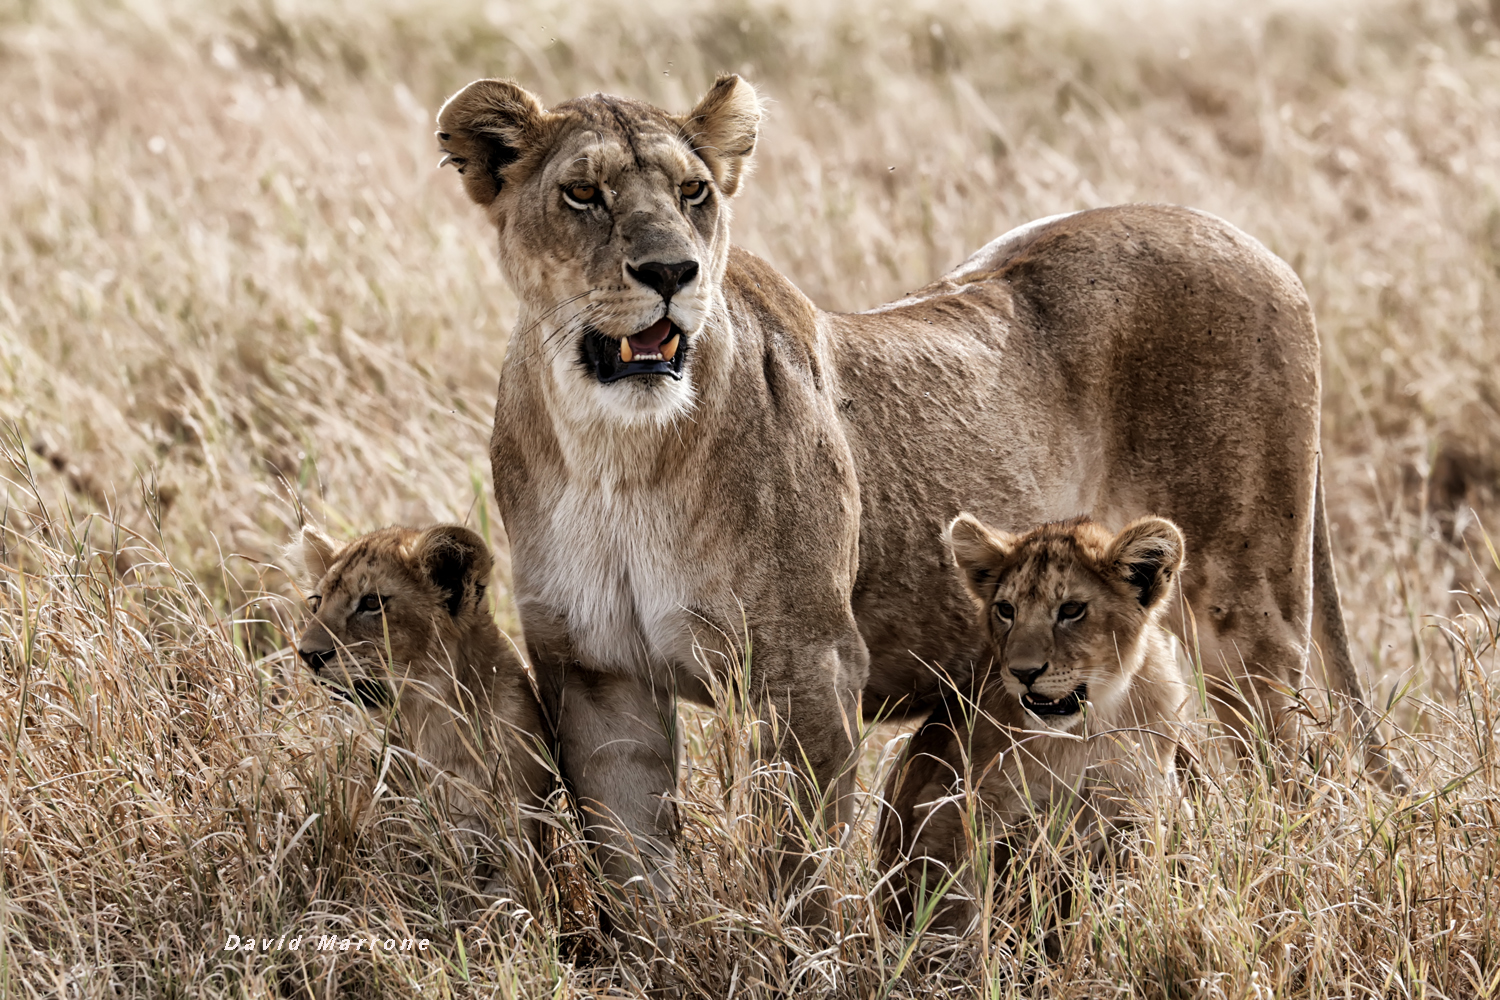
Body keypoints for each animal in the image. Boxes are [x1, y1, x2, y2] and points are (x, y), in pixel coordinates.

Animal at [877, 513, 1194, 931]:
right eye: (1006, 609)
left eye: (1072, 609)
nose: (1023, 672)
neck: (1083, 734)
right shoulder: (953, 803)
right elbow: (956, 904)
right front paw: (964, 950)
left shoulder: (1138, 802)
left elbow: (1127, 891)